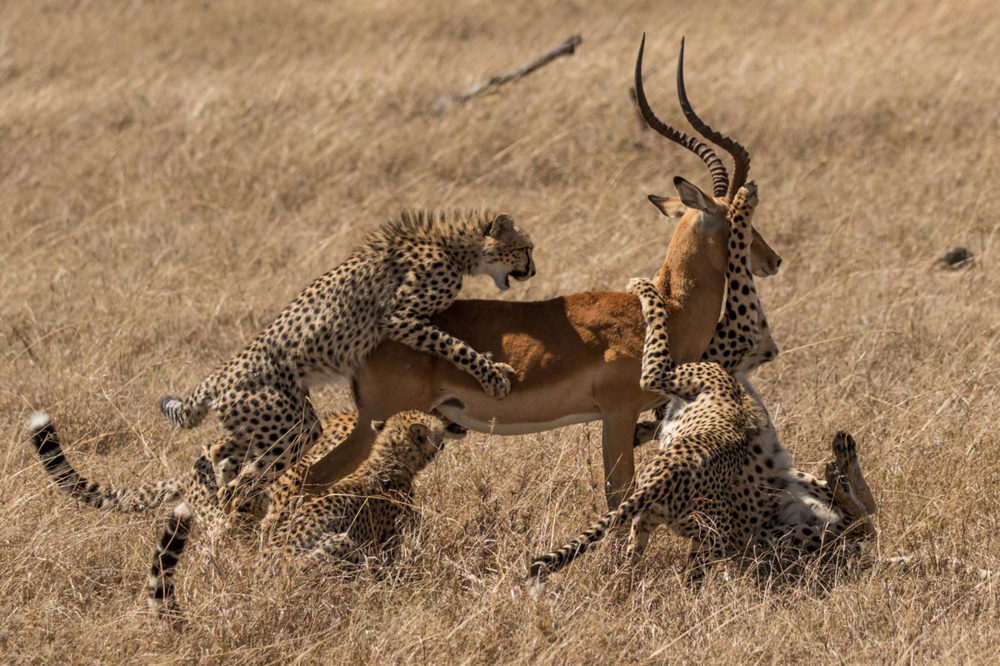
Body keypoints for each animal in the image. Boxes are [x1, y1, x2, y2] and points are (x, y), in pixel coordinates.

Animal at [158, 208, 532, 498]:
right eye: (526, 248)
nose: (533, 271)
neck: (453, 246)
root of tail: (215, 377)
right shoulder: (398, 317)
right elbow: (452, 343)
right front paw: (493, 375)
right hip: (292, 427)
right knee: (244, 479)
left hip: (270, 422)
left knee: (218, 449)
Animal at [532, 183, 876, 580]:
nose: (775, 261)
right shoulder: (748, 338)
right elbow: (736, 262)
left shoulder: (732, 345)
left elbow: (733, 265)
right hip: (770, 510)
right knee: (860, 519)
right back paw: (841, 460)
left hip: (767, 509)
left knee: (862, 519)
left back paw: (841, 462)